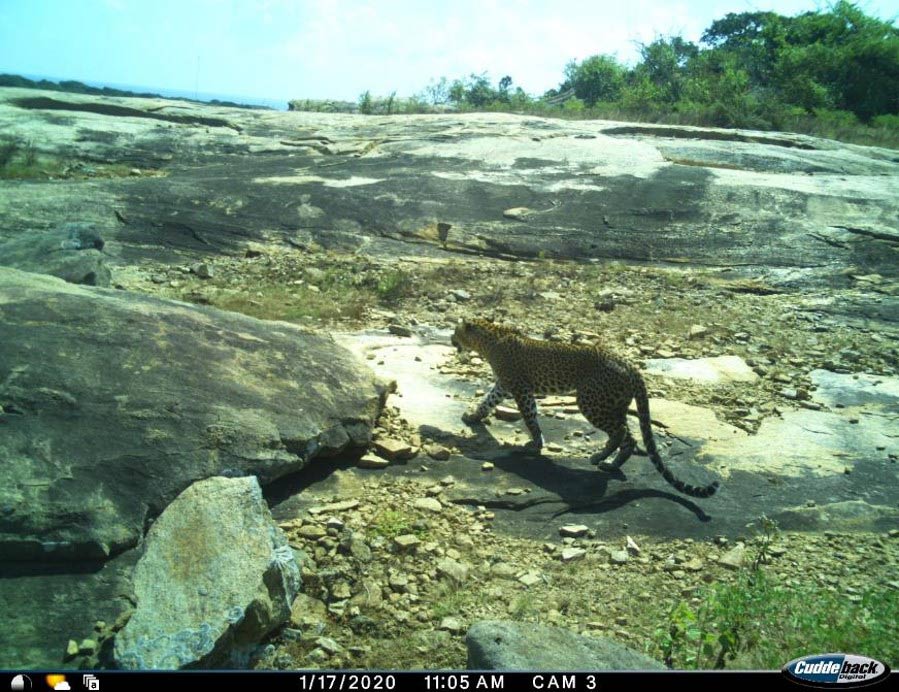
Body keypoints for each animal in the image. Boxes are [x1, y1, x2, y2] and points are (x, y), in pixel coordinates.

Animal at [451, 318, 719, 498]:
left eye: (455, 332)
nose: (452, 340)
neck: (488, 340)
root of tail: (631, 365)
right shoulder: (504, 385)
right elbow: (488, 401)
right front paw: (472, 416)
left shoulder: (519, 388)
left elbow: (529, 417)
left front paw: (534, 444)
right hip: (614, 405)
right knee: (629, 436)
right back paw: (611, 464)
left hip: (590, 401)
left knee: (621, 432)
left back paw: (599, 457)